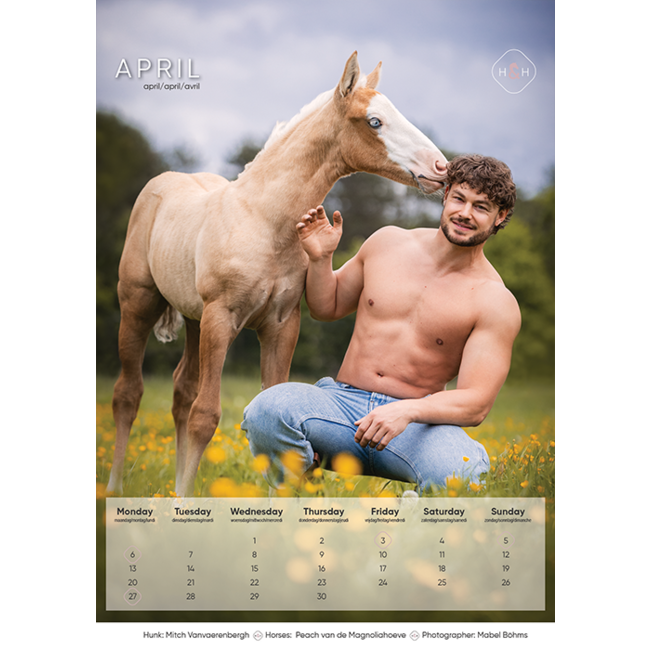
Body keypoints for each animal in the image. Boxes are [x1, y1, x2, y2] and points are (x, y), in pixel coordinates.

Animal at [107, 52, 448, 497]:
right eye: (375, 121)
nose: (442, 167)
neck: (266, 222)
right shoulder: (222, 319)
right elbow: (205, 414)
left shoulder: (281, 325)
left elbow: (269, 407)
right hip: (140, 304)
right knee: (128, 394)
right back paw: (116, 491)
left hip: (195, 320)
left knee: (181, 392)